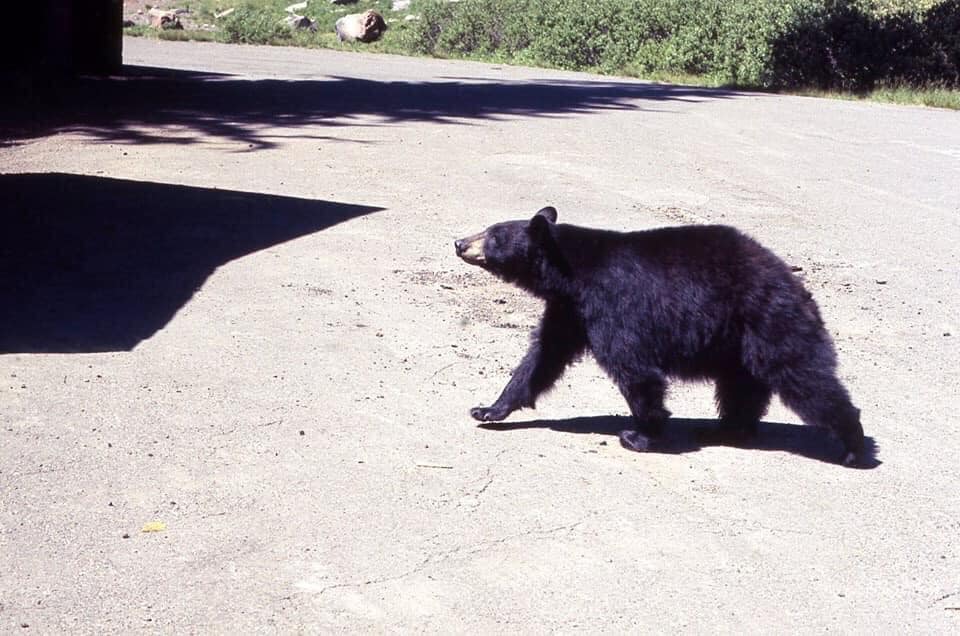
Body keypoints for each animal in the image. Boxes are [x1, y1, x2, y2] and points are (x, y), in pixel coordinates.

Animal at [454, 209, 868, 468]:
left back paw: (853, 446)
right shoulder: (571, 310)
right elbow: (542, 357)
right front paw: (488, 409)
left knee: (805, 378)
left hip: (770, 322)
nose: (459, 242)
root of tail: (796, 285)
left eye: (493, 235)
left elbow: (633, 366)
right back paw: (726, 428)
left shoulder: (611, 302)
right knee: (741, 387)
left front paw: (640, 434)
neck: (571, 273)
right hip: (737, 342)